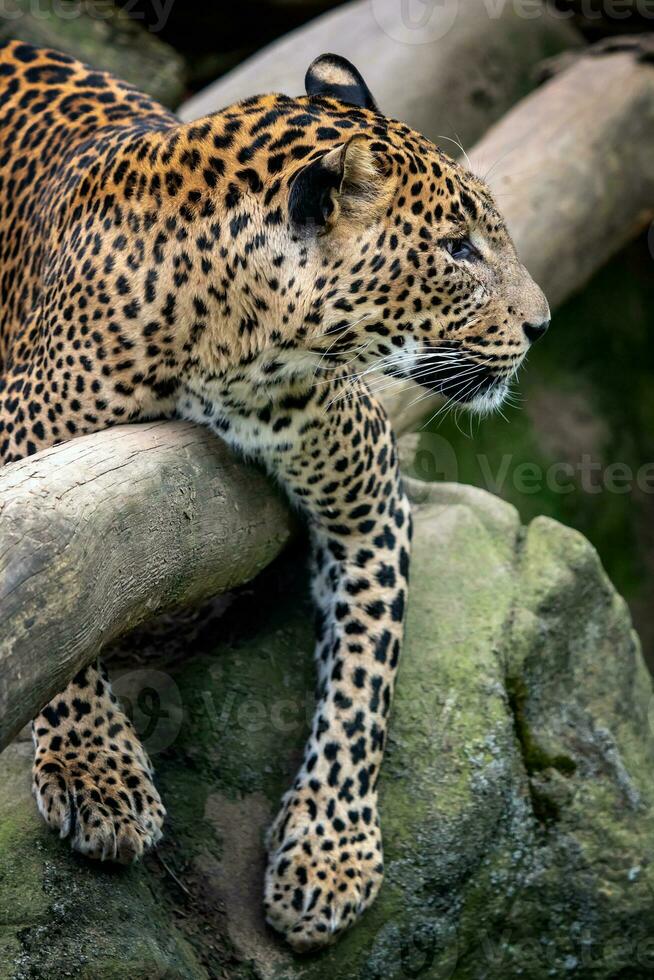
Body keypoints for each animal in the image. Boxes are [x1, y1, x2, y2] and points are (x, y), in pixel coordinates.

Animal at [0, 42, 552, 952]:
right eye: (458, 249)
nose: (541, 326)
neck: (238, 346)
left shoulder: (367, 506)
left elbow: (365, 685)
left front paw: (328, 856)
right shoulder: (25, 453)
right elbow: (55, 604)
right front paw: (96, 770)